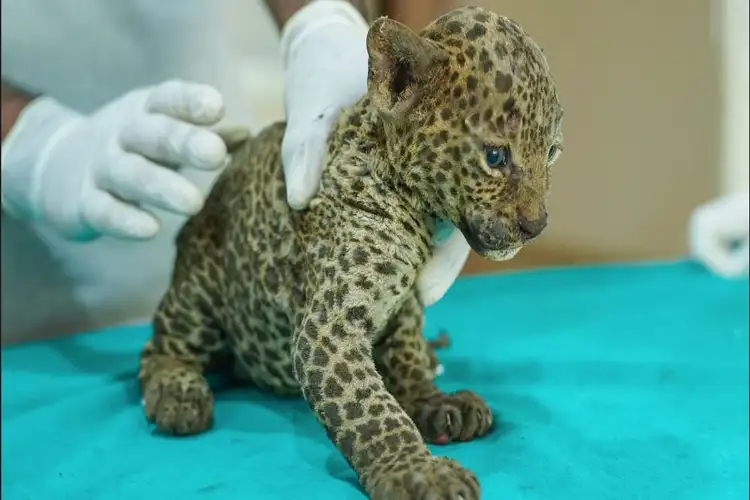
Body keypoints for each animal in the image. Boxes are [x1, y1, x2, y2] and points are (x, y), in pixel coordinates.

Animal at [138, 6, 564, 499]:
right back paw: (178, 393)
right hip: (199, 291)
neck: (416, 211)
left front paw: (433, 401)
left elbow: (407, 358)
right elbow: (371, 407)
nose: (536, 225)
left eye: (551, 153)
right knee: (161, 347)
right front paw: (418, 471)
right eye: (495, 157)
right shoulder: (328, 330)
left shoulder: (405, 306)